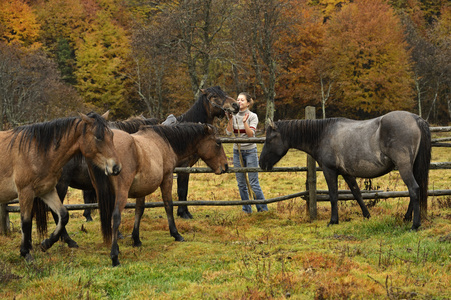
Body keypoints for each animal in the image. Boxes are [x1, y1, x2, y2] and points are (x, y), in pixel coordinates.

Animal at [0, 111, 121, 262]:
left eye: (112, 135)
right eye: (98, 137)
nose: (116, 167)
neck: (35, 152)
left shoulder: (46, 191)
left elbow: (63, 215)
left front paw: (46, 243)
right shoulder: (25, 192)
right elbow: (26, 222)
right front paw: (25, 253)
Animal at [91, 123, 230, 266]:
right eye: (218, 142)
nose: (225, 166)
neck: (163, 142)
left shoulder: (142, 188)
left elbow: (139, 210)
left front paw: (136, 239)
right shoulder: (167, 178)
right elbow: (168, 205)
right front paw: (176, 234)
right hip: (121, 192)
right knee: (116, 217)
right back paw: (115, 256)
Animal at [260, 110, 432, 230]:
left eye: (269, 139)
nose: (262, 164)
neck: (323, 134)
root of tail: (416, 119)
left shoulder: (329, 171)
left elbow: (333, 195)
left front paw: (333, 221)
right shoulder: (347, 173)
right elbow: (356, 193)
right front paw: (367, 216)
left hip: (404, 166)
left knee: (414, 189)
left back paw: (414, 225)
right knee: (416, 190)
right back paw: (406, 218)